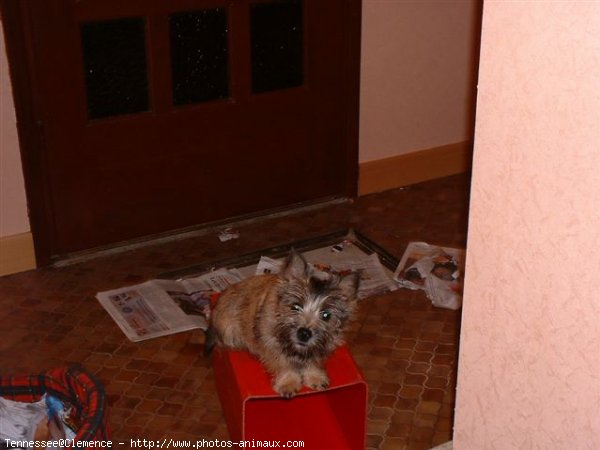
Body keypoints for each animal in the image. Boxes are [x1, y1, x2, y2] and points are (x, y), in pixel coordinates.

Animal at [204, 250, 358, 398]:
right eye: (295, 306)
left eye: (326, 315)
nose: (304, 333)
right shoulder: (272, 344)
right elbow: (283, 364)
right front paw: (288, 383)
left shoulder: (322, 346)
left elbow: (313, 361)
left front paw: (315, 377)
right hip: (228, 333)